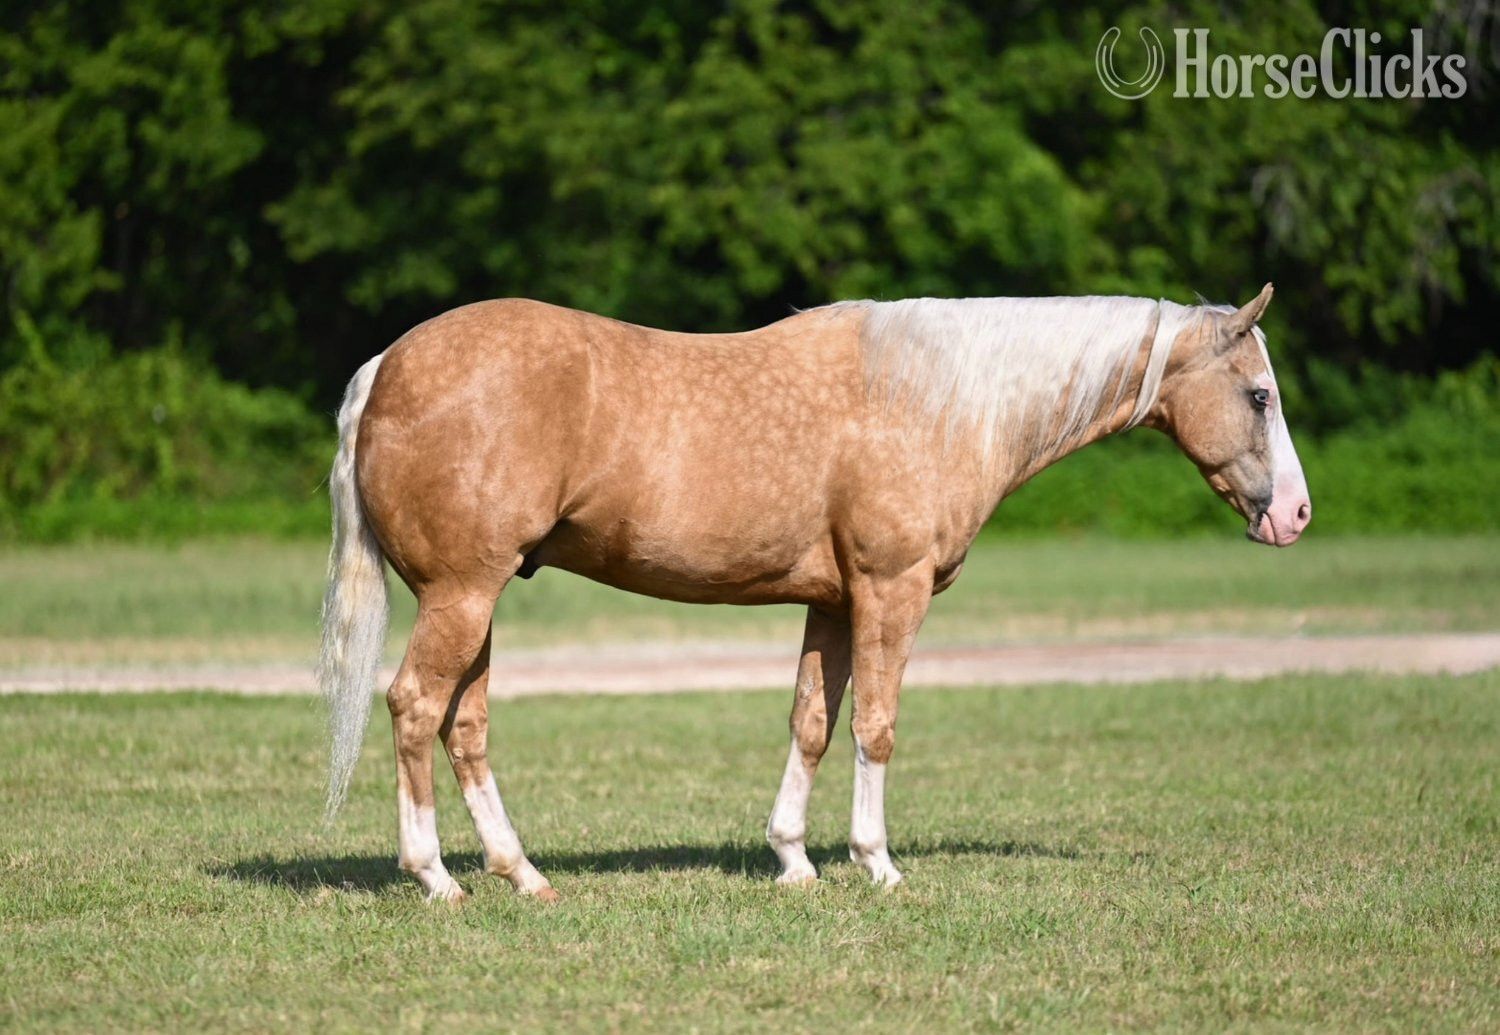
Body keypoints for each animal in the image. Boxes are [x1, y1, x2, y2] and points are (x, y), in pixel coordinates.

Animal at [318, 284, 1310, 903]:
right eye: (1259, 395)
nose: (1295, 514)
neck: (931, 402)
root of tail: (384, 367)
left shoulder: (832, 603)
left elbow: (812, 722)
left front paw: (794, 860)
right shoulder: (890, 592)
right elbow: (876, 724)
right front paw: (877, 863)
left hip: (477, 602)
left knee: (465, 726)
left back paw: (521, 873)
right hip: (461, 595)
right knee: (415, 707)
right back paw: (436, 877)